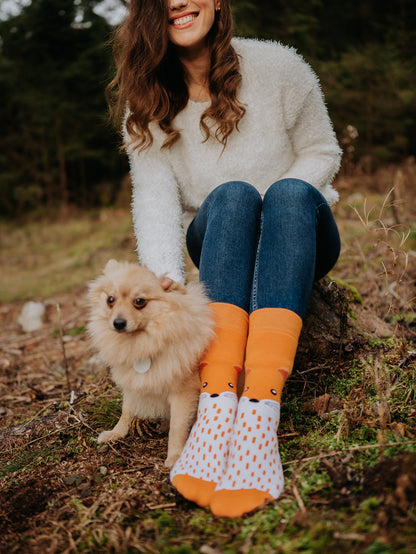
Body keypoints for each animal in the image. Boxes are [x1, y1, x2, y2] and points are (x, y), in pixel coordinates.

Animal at [89, 258, 216, 466]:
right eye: (110, 300)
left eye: (139, 301)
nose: (118, 322)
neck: (145, 341)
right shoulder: (133, 382)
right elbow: (126, 410)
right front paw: (116, 433)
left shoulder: (183, 392)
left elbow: (177, 427)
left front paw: (174, 456)